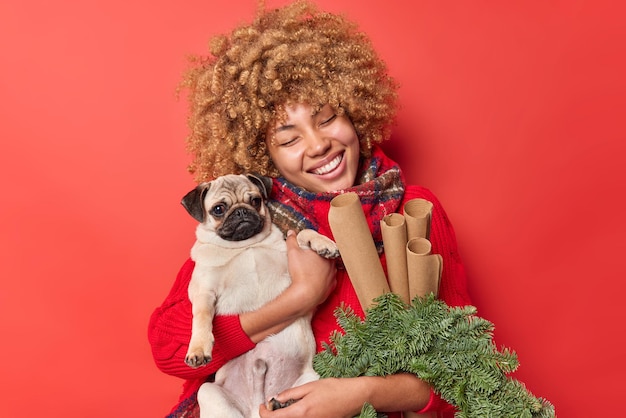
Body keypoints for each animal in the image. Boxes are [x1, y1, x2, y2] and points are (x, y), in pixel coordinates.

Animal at [178, 173, 338, 418]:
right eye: (218, 209)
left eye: (255, 201)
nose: (241, 212)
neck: (244, 246)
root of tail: (257, 407)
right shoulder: (204, 290)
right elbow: (202, 316)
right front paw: (198, 347)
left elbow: (301, 233)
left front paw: (323, 243)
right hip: (208, 392)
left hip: (313, 380)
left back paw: (282, 404)